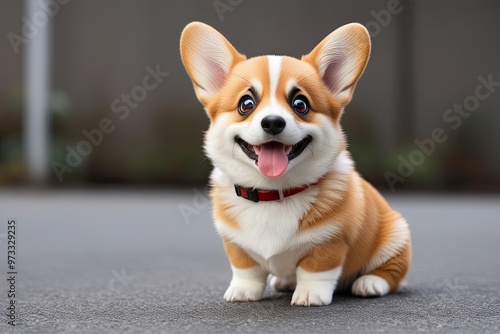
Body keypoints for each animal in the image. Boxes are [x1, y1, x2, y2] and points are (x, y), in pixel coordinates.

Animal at [179, 22, 410, 306]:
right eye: (246, 104)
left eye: (300, 104)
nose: (273, 122)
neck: (272, 192)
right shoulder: (235, 243)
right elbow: (246, 270)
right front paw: (243, 292)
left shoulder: (331, 241)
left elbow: (316, 270)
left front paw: (310, 295)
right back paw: (285, 282)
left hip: (396, 235)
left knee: (392, 273)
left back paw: (369, 283)